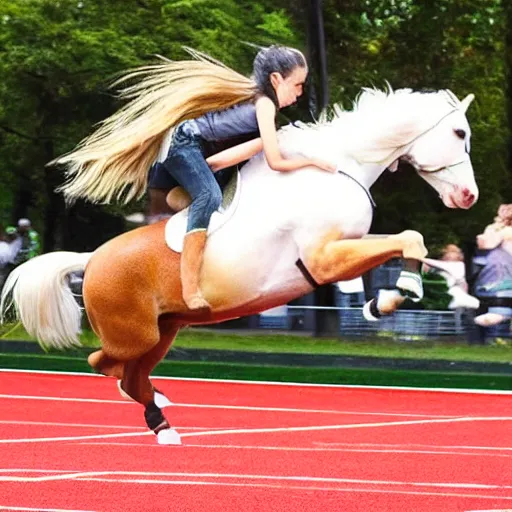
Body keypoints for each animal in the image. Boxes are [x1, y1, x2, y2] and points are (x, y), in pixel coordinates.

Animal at [1, 88, 480, 444]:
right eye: (459, 132)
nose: (468, 196)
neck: (336, 168)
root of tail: (90, 258)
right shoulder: (324, 260)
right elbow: (406, 240)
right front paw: (400, 292)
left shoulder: (346, 247)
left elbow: (409, 240)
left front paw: (385, 301)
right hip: (136, 335)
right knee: (104, 362)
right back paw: (160, 418)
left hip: (164, 331)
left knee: (129, 375)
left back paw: (162, 417)